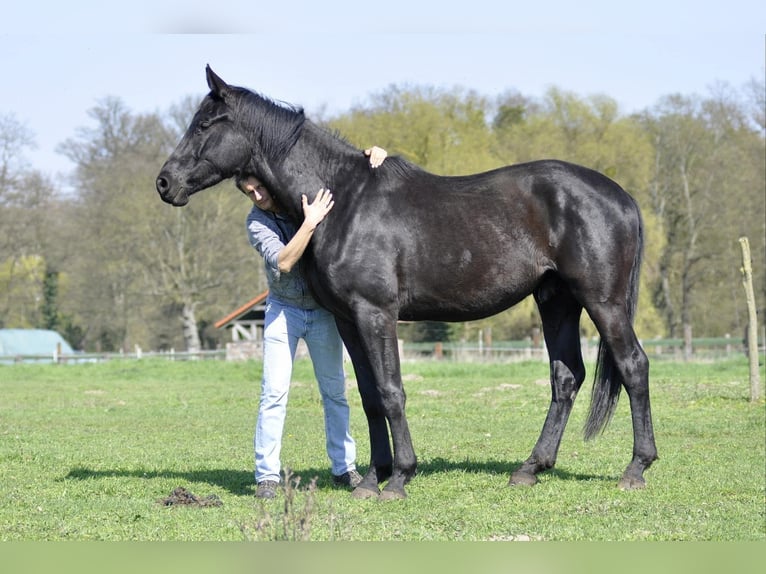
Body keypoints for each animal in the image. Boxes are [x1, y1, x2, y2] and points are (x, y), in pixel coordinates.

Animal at [158, 66, 660, 500]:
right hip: (556, 300)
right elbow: (368, 396)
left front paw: (399, 478)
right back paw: (530, 468)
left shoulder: (376, 313)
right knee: (566, 377)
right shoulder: (347, 320)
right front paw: (370, 479)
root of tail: (620, 196)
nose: (165, 183)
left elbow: (391, 390)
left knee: (633, 365)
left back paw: (636, 469)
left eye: (205, 124)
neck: (343, 201)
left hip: (603, 301)